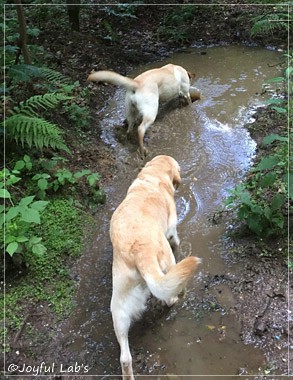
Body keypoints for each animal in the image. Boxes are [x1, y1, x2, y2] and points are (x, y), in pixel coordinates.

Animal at [109, 155, 201, 380]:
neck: (152, 177)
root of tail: (139, 253)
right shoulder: (172, 229)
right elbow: (176, 238)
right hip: (168, 261)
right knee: (169, 294)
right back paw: (178, 296)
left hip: (118, 306)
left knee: (125, 357)